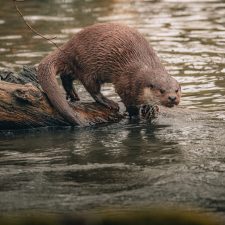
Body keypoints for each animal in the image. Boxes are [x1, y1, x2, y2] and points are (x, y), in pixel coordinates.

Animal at [37, 23, 181, 125]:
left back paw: (73, 94)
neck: (142, 68)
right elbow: (130, 105)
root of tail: (68, 46)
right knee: (92, 88)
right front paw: (136, 116)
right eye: (161, 91)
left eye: (176, 90)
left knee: (66, 76)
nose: (172, 98)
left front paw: (150, 109)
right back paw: (109, 102)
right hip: (88, 66)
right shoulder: (124, 84)